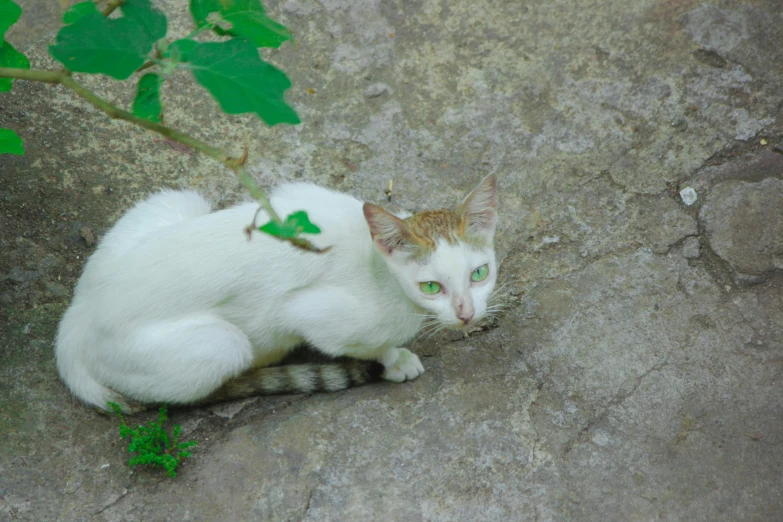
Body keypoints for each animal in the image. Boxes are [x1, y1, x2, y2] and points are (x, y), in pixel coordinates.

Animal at [55, 175, 500, 410]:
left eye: (479, 273)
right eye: (431, 286)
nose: (466, 313)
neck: (378, 267)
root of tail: (75, 323)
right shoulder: (305, 312)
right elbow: (363, 344)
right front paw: (394, 359)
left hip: (178, 200)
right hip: (222, 344)